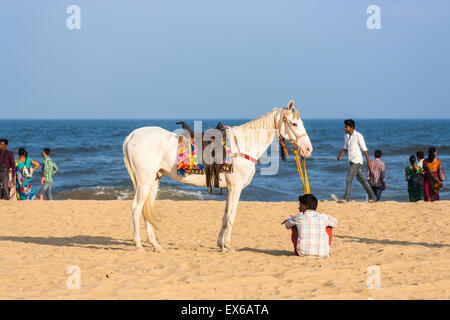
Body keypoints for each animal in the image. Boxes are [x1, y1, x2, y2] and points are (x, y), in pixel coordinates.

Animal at [123, 100, 312, 252]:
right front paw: (228, 246)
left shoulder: (229, 189)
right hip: (144, 182)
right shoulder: (235, 188)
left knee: (146, 209)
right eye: (294, 124)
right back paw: (138, 245)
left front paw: (221, 244)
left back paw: (156, 245)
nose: (308, 149)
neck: (242, 146)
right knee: (136, 208)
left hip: (154, 180)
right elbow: (231, 216)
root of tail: (133, 135)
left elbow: (225, 216)